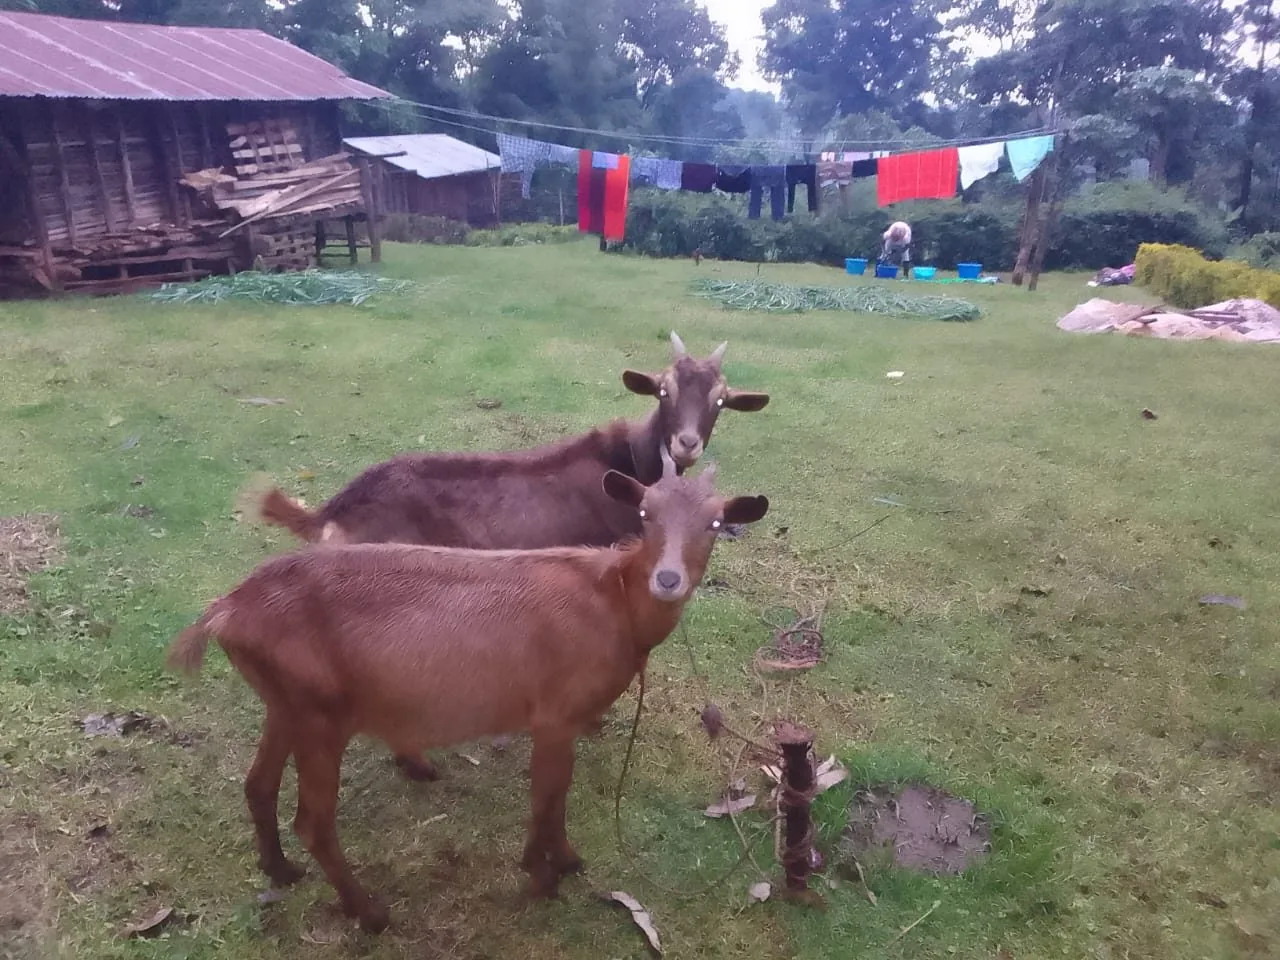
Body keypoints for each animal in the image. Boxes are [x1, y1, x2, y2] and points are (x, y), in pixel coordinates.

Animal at [168, 455, 769, 933]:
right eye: (645, 514)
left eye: (715, 522)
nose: (667, 579)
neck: (613, 600)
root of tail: (225, 610)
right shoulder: (555, 714)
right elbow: (547, 794)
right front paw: (543, 875)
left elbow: (554, 794)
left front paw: (563, 861)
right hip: (320, 717)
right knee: (313, 822)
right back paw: (371, 913)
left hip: (285, 703)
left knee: (258, 784)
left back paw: (281, 869)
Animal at [249, 332, 769, 782]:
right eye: (663, 390)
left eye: (720, 399)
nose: (687, 443)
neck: (630, 468)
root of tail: (330, 512)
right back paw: (419, 766)